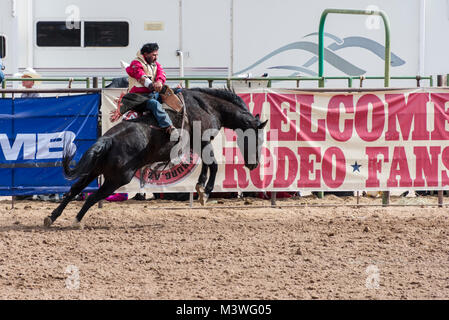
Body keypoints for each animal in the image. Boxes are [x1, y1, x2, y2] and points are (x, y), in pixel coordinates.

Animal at [43, 87, 266, 228]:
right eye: (258, 138)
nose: (254, 165)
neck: (207, 106)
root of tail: (108, 140)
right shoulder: (202, 141)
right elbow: (214, 165)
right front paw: (207, 191)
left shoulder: (199, 144)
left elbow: (207, 165)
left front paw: (201, 188)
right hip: (117, 179)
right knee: (92, 196)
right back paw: (76, 221)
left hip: (95, 170)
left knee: (74, 190)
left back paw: (51, 218)